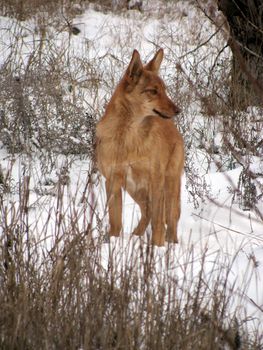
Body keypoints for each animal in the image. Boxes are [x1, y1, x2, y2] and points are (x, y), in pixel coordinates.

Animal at [96, 48, 185, 246]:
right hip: (135, 189)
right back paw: (136, 236)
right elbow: (115, 221)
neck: (129, 137)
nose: (178, 110)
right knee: (147, 212)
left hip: (169, 185)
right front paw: (113, 242)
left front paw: (157, 247)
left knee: (171, 219)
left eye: (164, 90)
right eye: (153, 91)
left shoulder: (155, 180)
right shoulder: (113, 181)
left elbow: (159, 222)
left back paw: (171, 244)